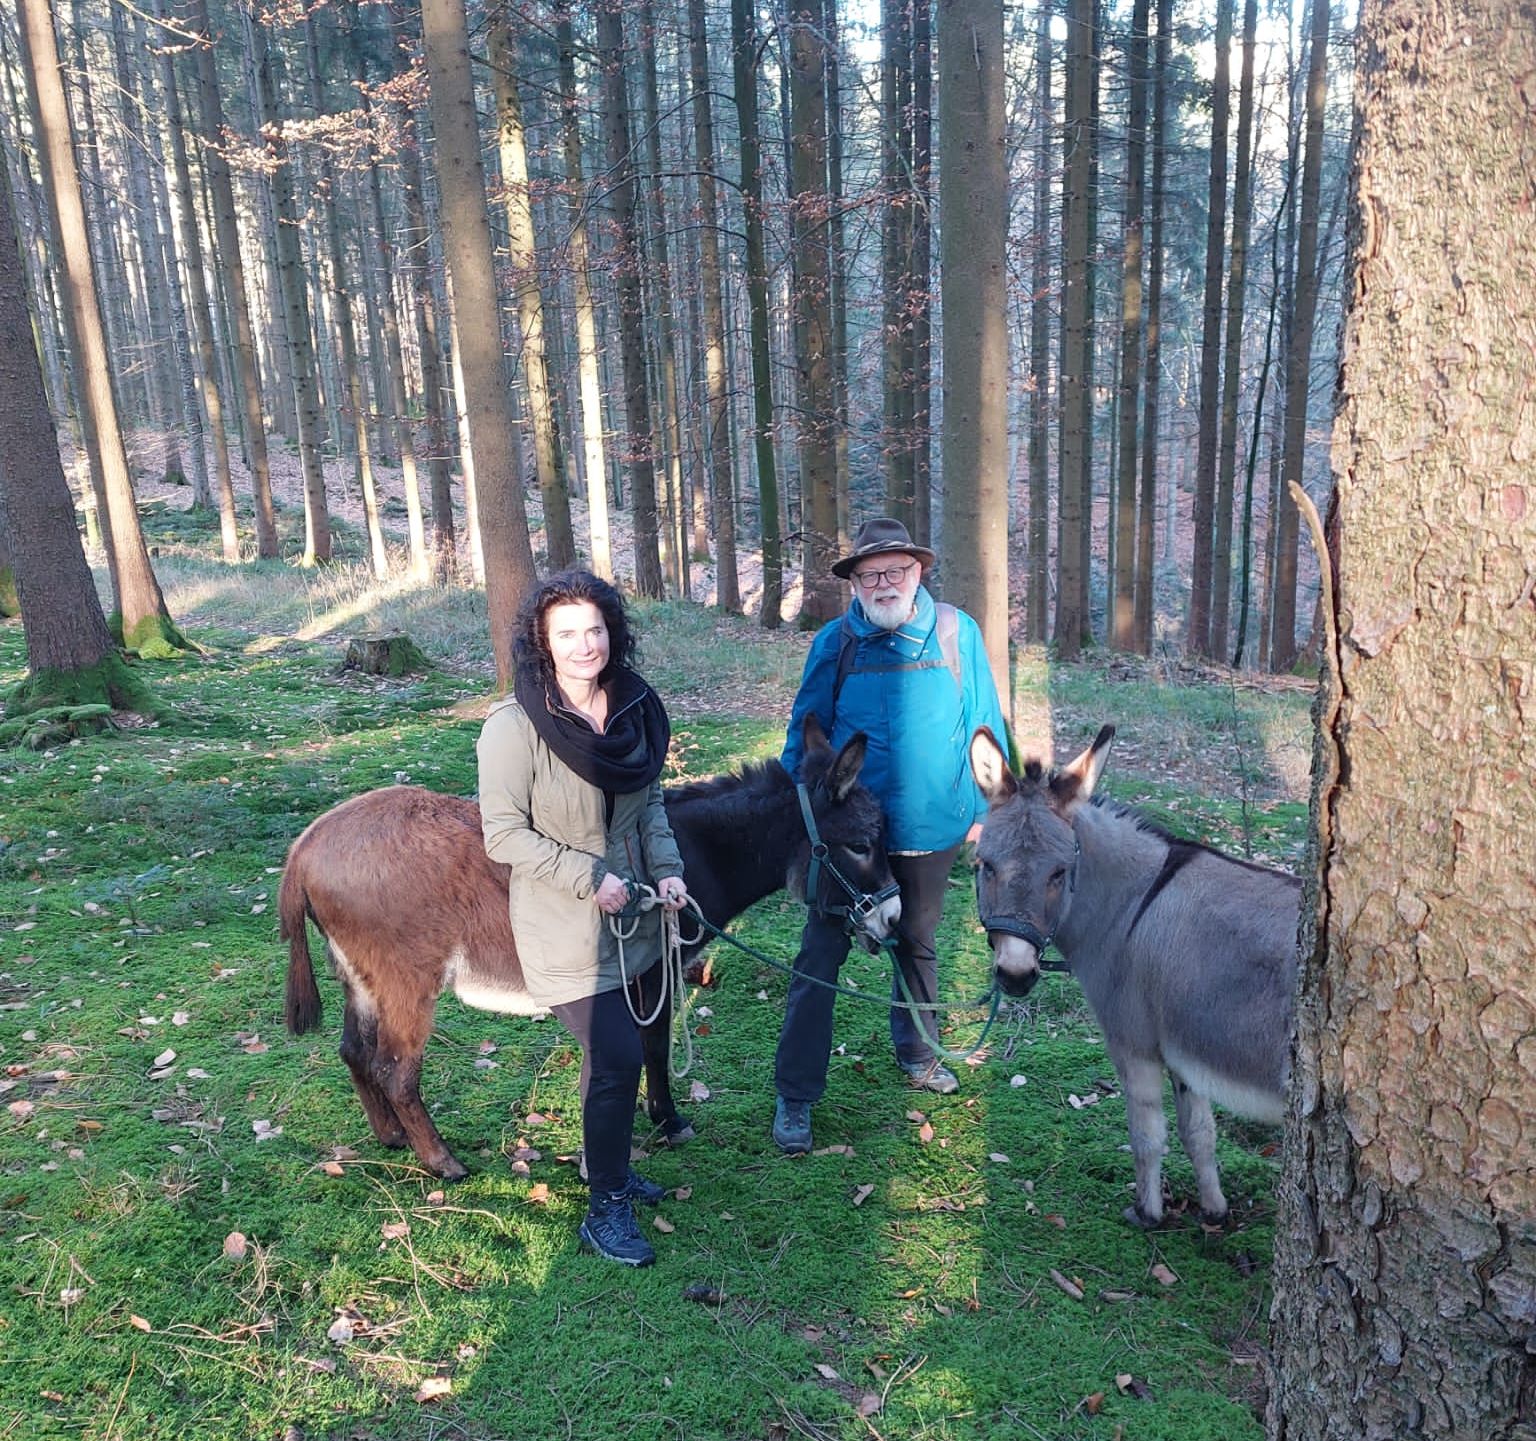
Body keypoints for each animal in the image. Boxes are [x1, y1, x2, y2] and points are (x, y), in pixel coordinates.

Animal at [280, 717, 898, 1180]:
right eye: (862, 845)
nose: (891, 920)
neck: (694, 854)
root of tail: (306, 847)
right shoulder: (652, 976)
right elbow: (655, 1049)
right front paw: (669, 1121)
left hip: (361, 980)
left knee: (353, 1053)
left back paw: (390, 1138)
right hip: (408, 981)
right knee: (396, 1071)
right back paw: (441, 1162)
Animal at [968, 723, 1301, 1227]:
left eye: (1060, 872)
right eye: (986, 865)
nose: (1016, 974)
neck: (1130, 907)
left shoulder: (1134, 1046)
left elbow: (1146, 1136)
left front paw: (1148, 1213)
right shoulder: (1185, 1051)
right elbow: (1199, 1134)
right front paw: (1214, 1211)